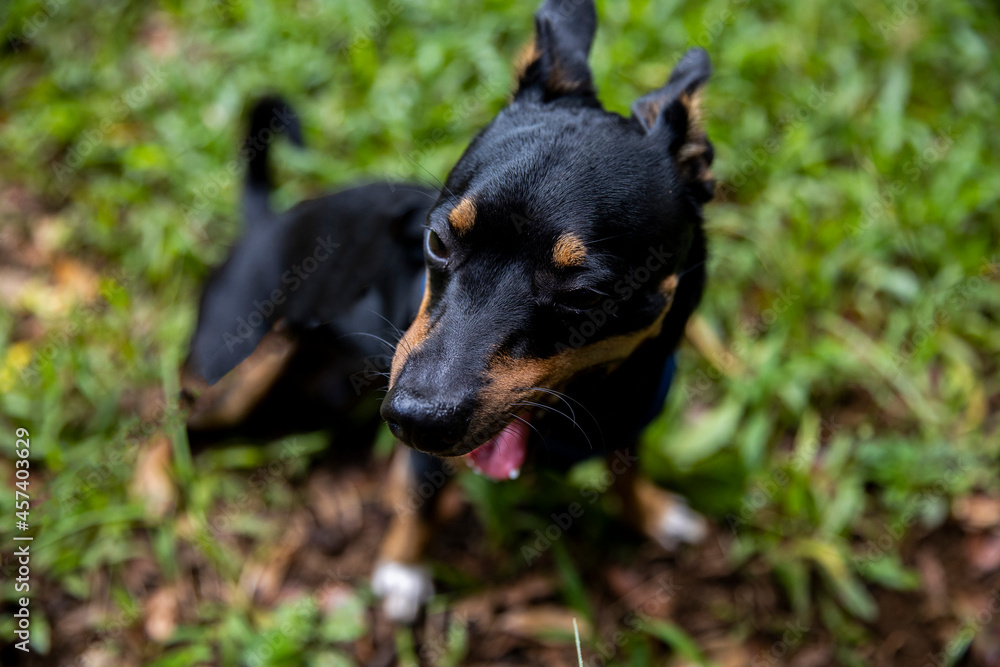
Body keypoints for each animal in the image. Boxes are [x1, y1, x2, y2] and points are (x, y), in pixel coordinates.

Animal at [184, 0, 716, 628]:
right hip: (234, 377)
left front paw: (651, 512)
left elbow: (627, 467)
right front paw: (403, 568)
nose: (413, 418)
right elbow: (424, 499)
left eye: (585, 297)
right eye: (436, 240)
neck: (582, 398)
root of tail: (262, 225)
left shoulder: (629, 415)